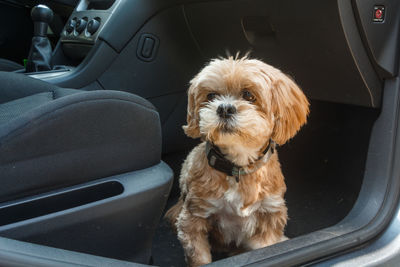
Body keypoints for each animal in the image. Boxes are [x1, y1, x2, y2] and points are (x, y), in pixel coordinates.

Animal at [166, 55, 310, 266]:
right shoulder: (194, 217)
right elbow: (199, 255)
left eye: (248, 95)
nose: (225, 108)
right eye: (211, 96)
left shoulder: (268, 216)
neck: (237, 166)